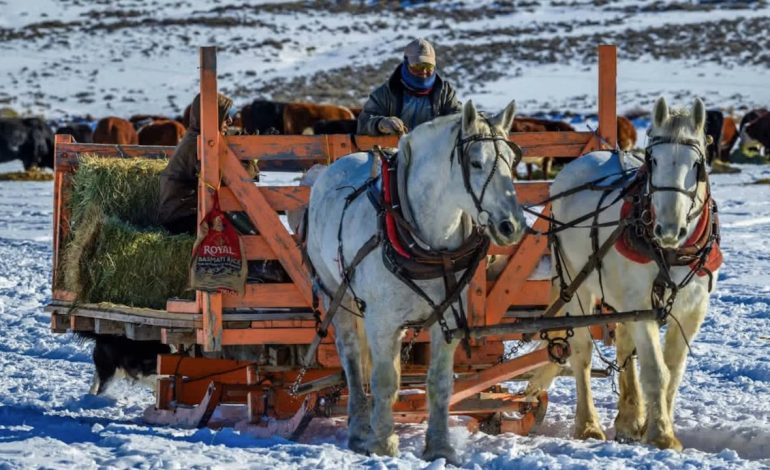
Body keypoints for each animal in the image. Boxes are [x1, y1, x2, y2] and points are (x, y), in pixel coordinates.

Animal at [306, 100, 526, 463]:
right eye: (476, 162)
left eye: (511, 160)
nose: (513, 225)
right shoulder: (382, 321)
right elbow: (385, 380)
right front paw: (383, 443)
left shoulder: (448, 318)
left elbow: (439, 382)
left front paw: (440, 447)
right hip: (337, 295)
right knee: (351, 358)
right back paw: (360, 430)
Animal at [525, 97, 720, 451]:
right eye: (652, 160)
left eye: (696, 165)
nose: (668, 229)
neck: (670, 250)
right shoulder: (642, 305)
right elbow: (657, 370)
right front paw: (662, 434)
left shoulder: (692, 310)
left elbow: (673, 370)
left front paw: (655, 425)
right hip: (576, 284)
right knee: (582, 353)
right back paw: (588, 424)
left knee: (623, 344)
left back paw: (629, 418)